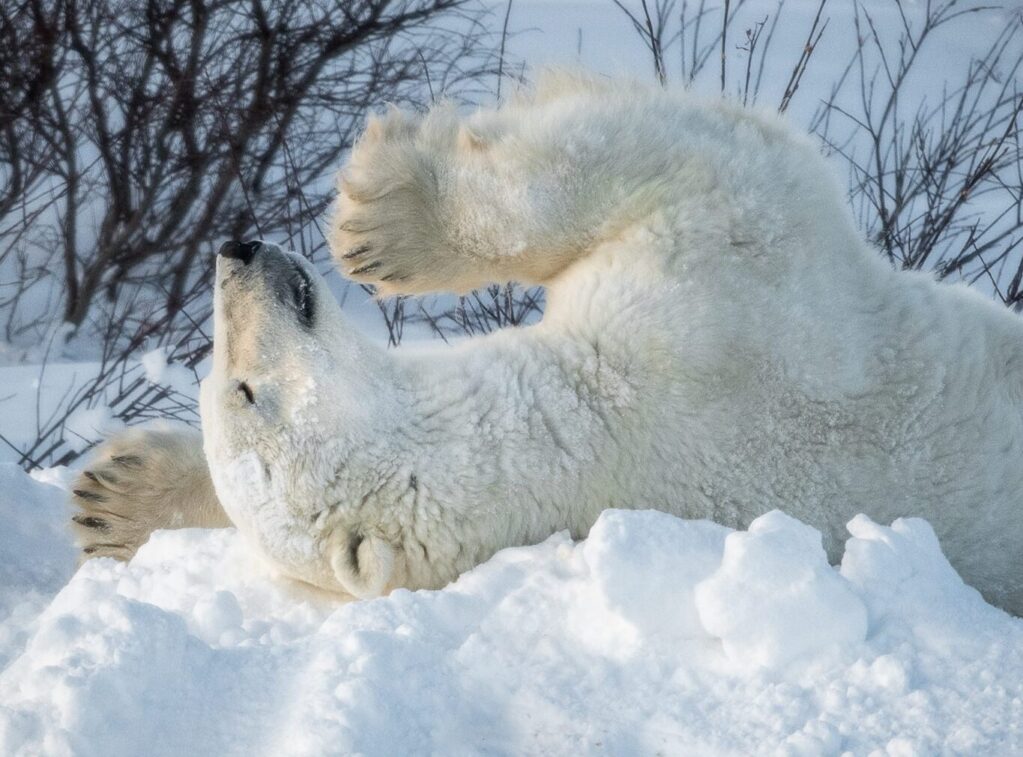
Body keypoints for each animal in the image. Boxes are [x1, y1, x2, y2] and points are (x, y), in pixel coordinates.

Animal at [72, 71, 1023, 613]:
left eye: (231, 388)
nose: (237, 255)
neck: (589, 431)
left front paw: (380, 220)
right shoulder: (718, 336)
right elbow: (710, 163)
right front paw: (114, 499)